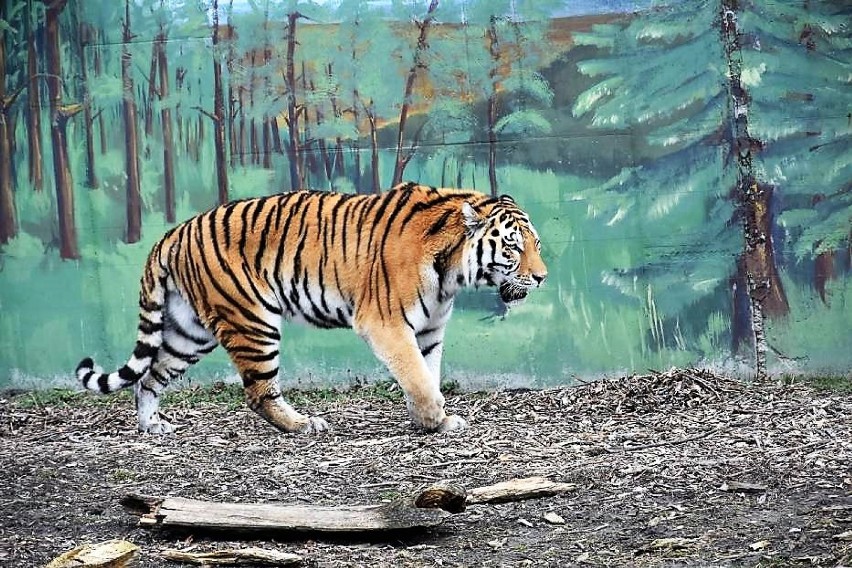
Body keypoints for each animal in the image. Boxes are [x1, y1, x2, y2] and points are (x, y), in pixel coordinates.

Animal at [75, 182, 544, 434]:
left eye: (536, 244)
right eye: (512, 247)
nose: (541, 277)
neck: (452, 271)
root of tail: (174, 231)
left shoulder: (429, 331)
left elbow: (427, 375)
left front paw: (436, 422)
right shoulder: (387, 325)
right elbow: (418, 379)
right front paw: (434, 421)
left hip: (190, 332)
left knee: (148, 377)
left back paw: (152, 426)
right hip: (253, 322)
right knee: (258, 393)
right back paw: (303, 425)